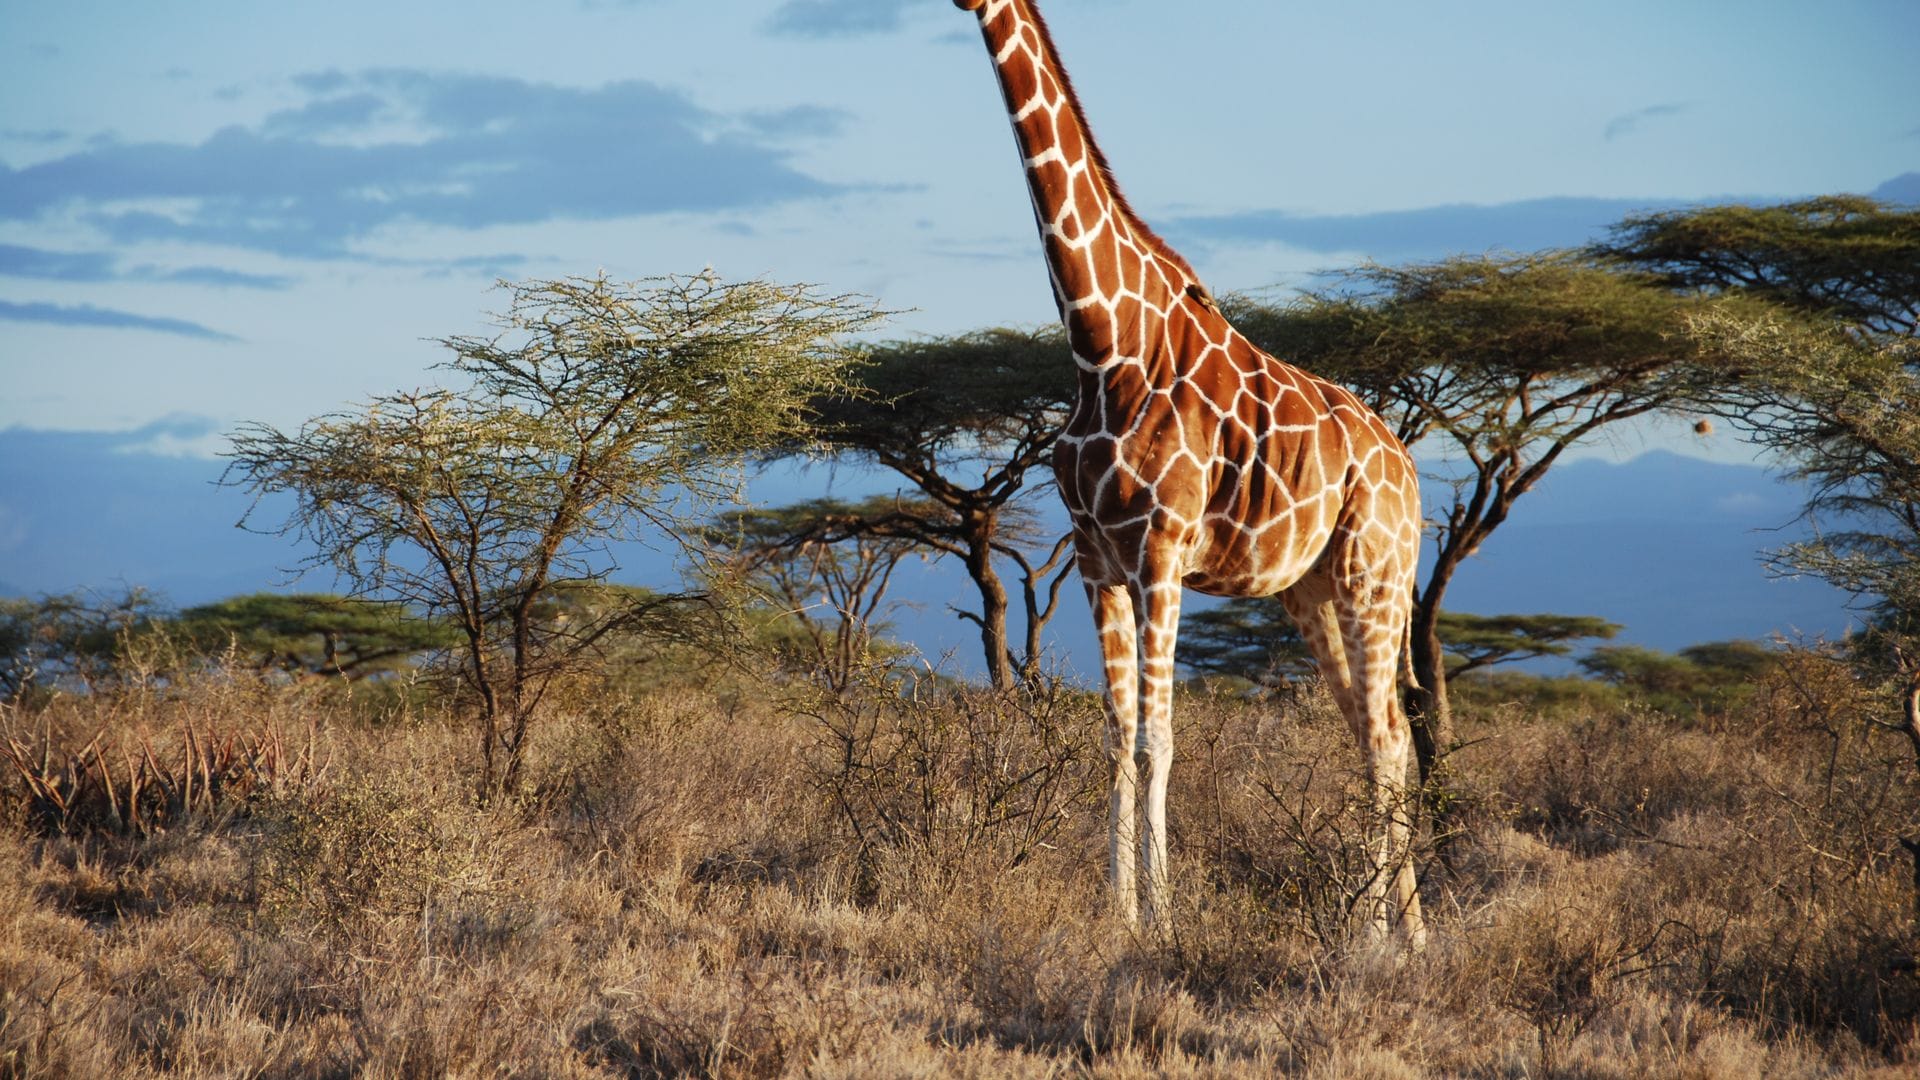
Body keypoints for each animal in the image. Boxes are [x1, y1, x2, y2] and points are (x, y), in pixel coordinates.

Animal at [952, 0, 1426, 945]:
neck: (1103, 345)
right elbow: (1113, 737)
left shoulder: (1161, 552)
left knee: (1390, 738)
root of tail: (1412, 471)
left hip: (1376, 575)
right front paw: (1117, 913)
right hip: (1311, 590)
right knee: (1374, 730)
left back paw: (1386, 936)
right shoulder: (1096, 556)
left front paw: (1164, 921)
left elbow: (1157, 740)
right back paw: (1400, 933)